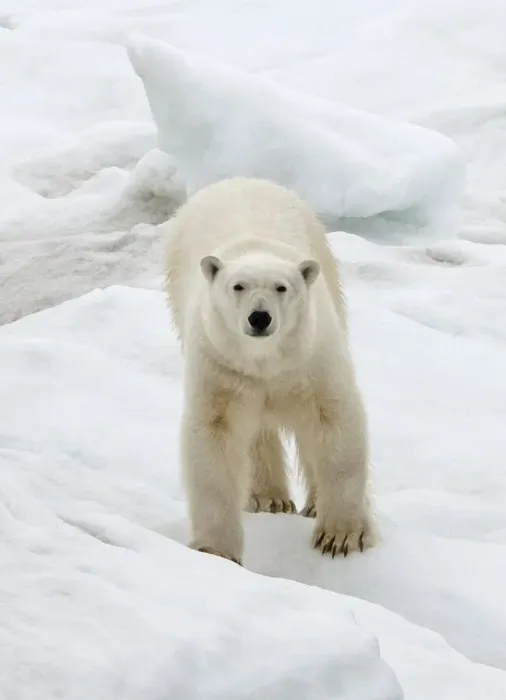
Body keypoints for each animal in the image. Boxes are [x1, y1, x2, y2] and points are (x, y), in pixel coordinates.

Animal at [163, 176, 377, 566]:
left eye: (282, 287)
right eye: (238, 286)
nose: (259, 317)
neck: (267, 361)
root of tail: (238, 179)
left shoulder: (312, 358)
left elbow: (334, 420)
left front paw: (341, 536)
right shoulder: (221, 366)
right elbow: (215, 437)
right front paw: (215, 550)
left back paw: (310, 503)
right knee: (258, 433)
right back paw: (269, 497)